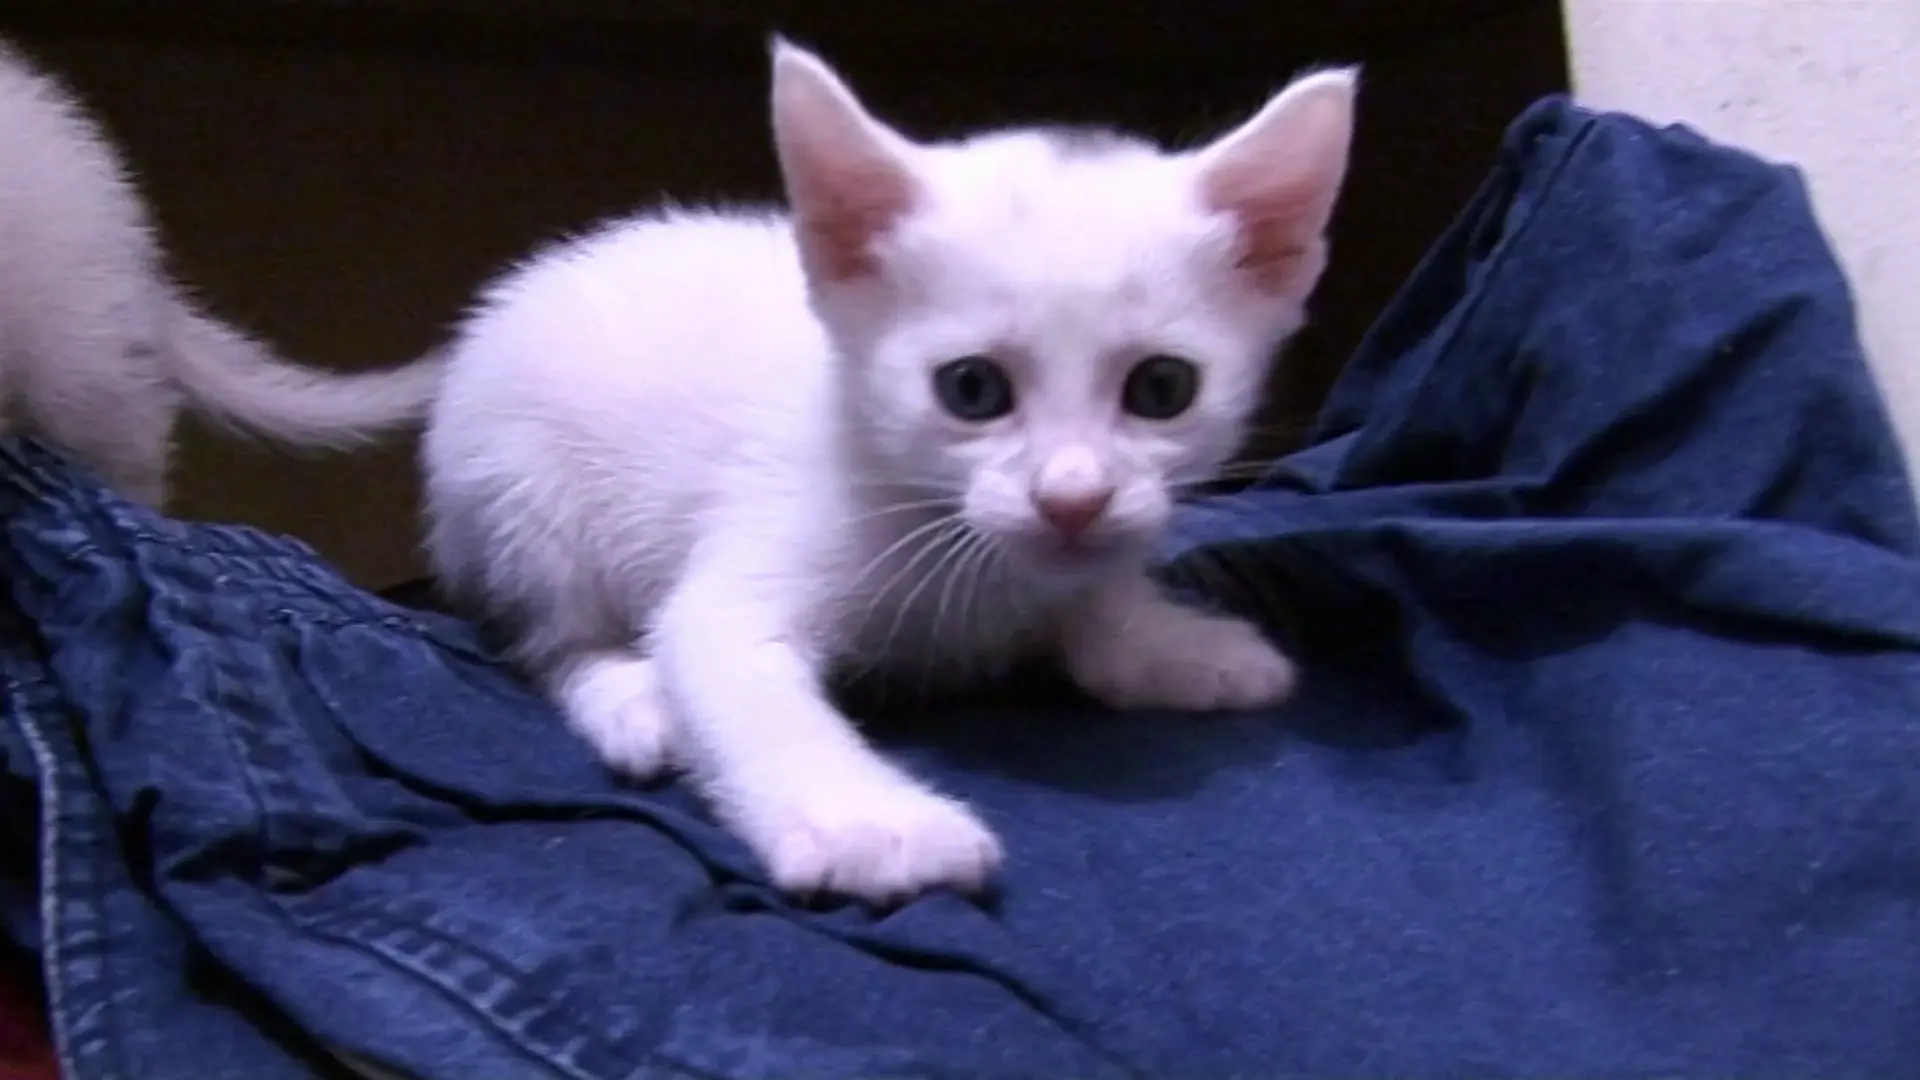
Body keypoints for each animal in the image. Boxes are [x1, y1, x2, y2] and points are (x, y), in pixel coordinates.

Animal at [424, 42, 1351, 899]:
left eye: (1162, 388)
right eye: (971, 389)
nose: (1072, 499)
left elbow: (1098, 614)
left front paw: (1170, 644)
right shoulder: (755, 561)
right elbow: (731, 669)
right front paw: (874, 829)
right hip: (520, 492)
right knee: (552, 634)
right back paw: (629, 696)